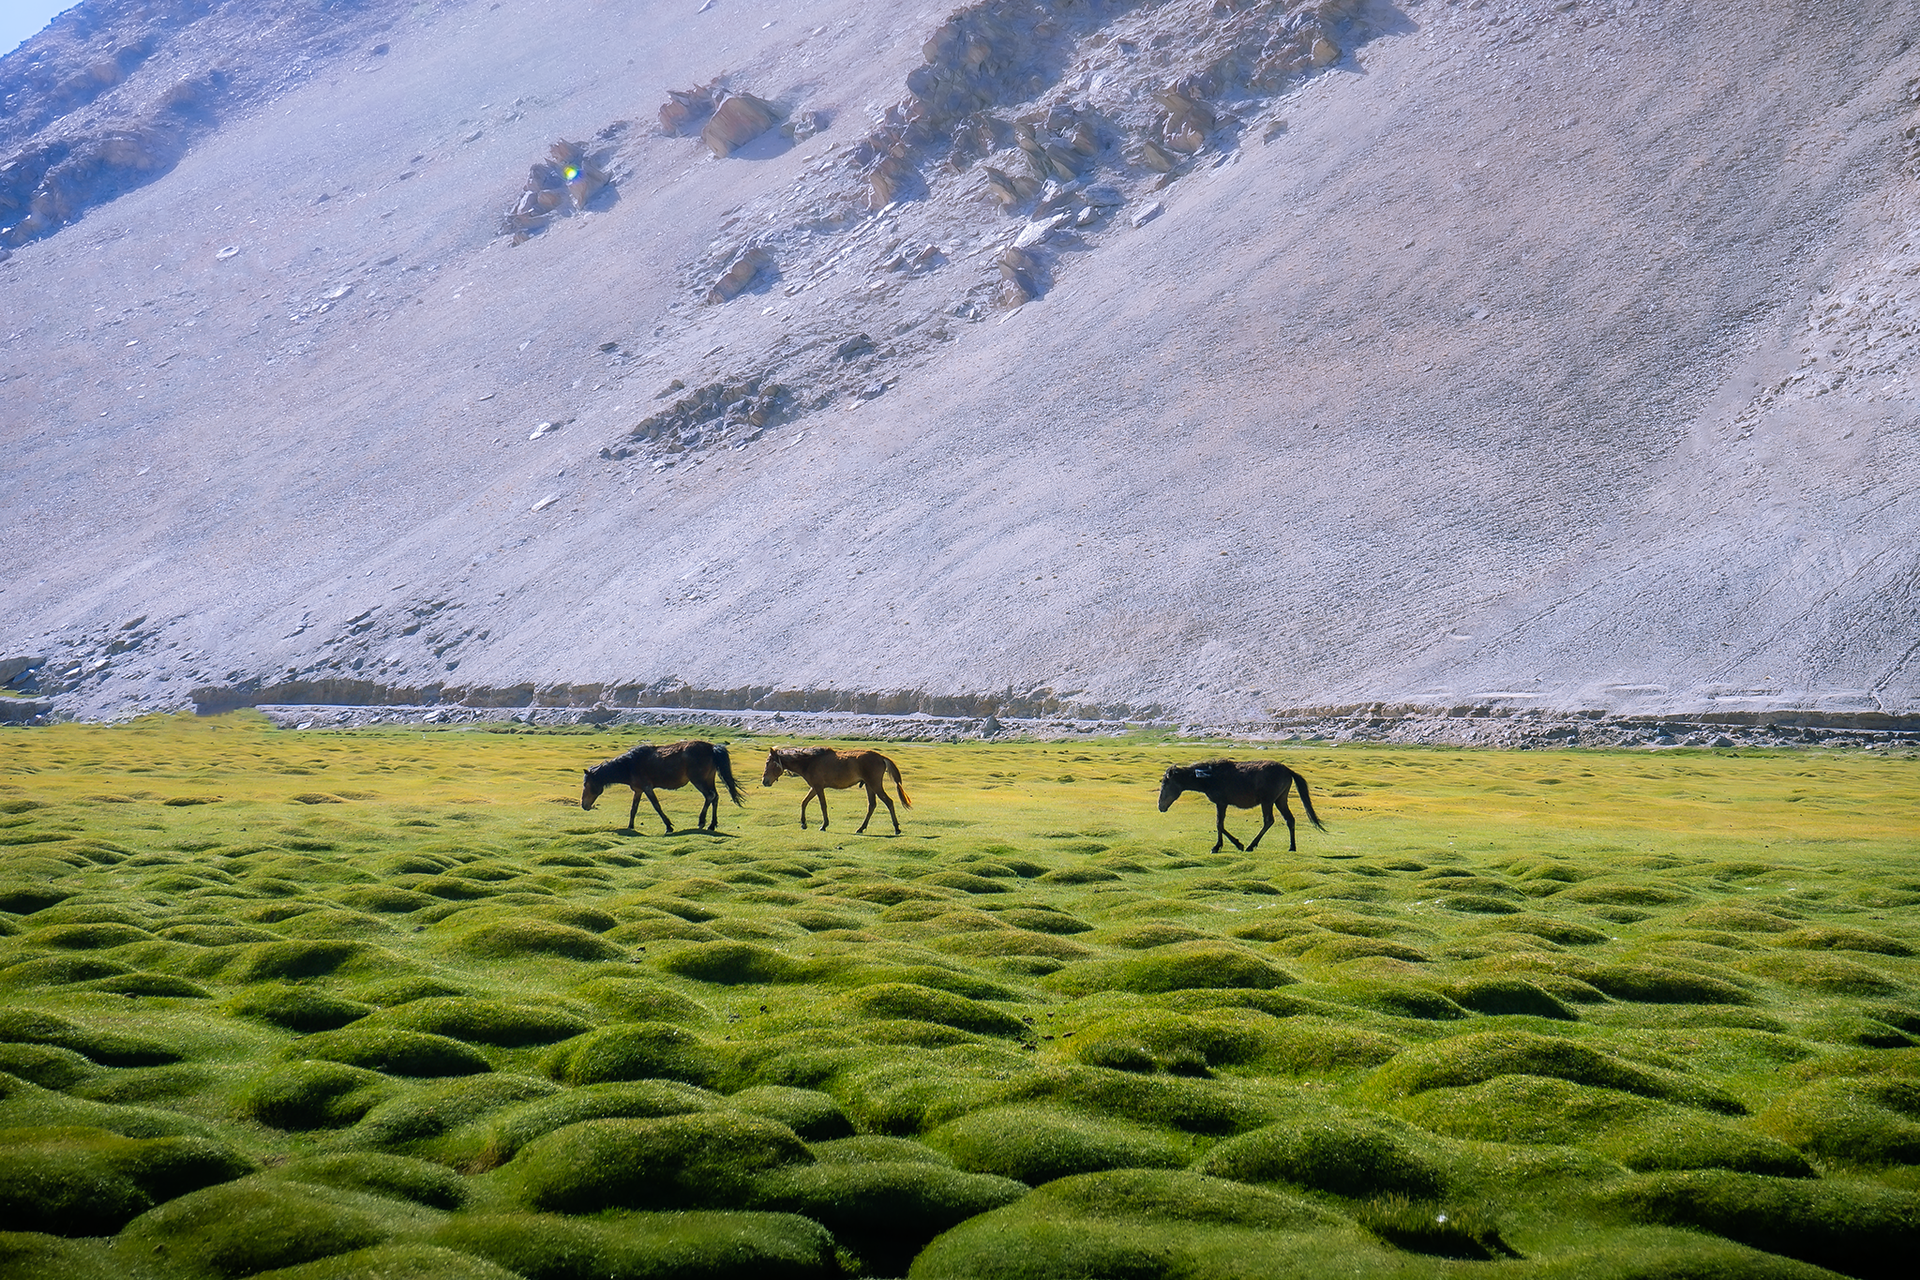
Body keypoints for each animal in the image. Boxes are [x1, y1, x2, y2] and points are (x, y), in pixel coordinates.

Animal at [576, 736, 741, 836]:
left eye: (586, 784)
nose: (584, 805)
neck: (629, 765)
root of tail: (712, 748)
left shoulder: (647, 788)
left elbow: (657, 806)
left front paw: (669, 827)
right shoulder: (638, 790)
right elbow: (633, 809)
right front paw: (630, 826)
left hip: (699, 780)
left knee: (710, 796)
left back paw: (701, 822)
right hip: (708, 779)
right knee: (715, 797)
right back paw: (712, 825)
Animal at [760, 744, 910, 836]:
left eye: (768, 763)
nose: (764, 781)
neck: (809, 762)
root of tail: (881, 757)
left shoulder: (818, 787)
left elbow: (823, 805)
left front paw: (824, 825)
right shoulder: (814, 787)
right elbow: (804, 802)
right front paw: (803, 823)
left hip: (875, 784)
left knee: (889, 802)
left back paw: (896, 828)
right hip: (869, 785)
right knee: (872, 805)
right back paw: (861, 828)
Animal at [1152, 759, 1320, 852]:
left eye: (1165, 784)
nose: (1160, 806)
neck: (1209, 777)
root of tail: (1287, 770)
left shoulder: (1221, 803)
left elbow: (1219, 824)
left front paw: (1225, 846)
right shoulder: (1221, 803)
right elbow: (1220, 824)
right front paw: (1222, 845)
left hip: (1268, 801)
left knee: (1269, 821)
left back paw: (1251, 846)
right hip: (1280, 800)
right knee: (1289, 820)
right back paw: (1292, 847)